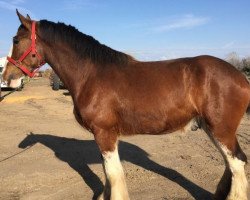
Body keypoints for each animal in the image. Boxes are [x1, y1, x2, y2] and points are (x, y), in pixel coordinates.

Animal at [2, 10, 249, 199]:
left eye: (15, 40)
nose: (8, 77)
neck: (91, 74)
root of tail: (240, 77)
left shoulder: (105, 133)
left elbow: (114, 174)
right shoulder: (104, 136)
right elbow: (107, 172)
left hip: (221, 129)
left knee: (237, 162)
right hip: (212, 128)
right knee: (231, 164)